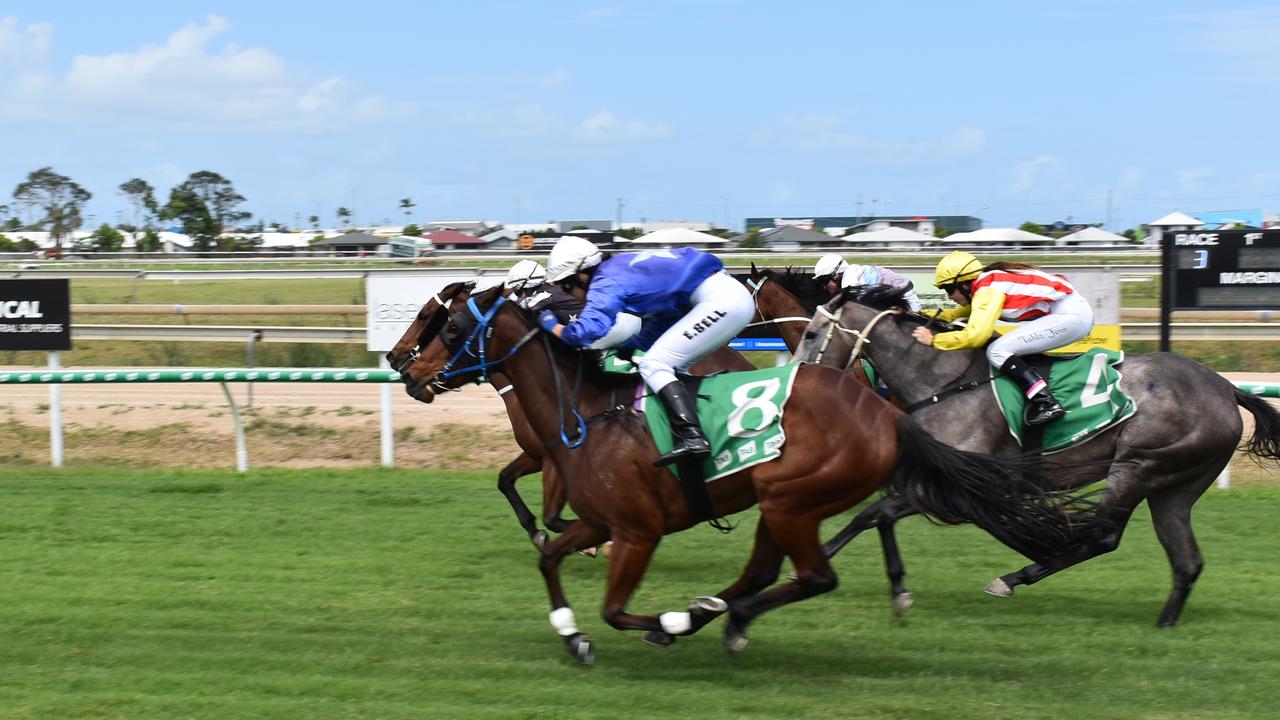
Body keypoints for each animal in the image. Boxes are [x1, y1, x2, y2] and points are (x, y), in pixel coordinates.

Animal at [384, 278, 752, 545]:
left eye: (428, 317)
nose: (399, 364)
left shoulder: (553, 460)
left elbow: (553, 514)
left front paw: (596, 542)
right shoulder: (540, 454)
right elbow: (506, 481)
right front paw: (540, 532)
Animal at [788, 283, 1280, 625]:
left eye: (811, 333)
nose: (795, 382)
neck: (943, 381)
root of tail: (1227, 389)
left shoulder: (954, 484)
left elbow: (879, 514)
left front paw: (892, 590)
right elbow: (869, 516)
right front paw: (810, 564)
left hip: (1138, 465)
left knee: (1102, 536)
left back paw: (1011, 579)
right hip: (1174, 487)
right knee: (1185, 560)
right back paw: (1164, 625)